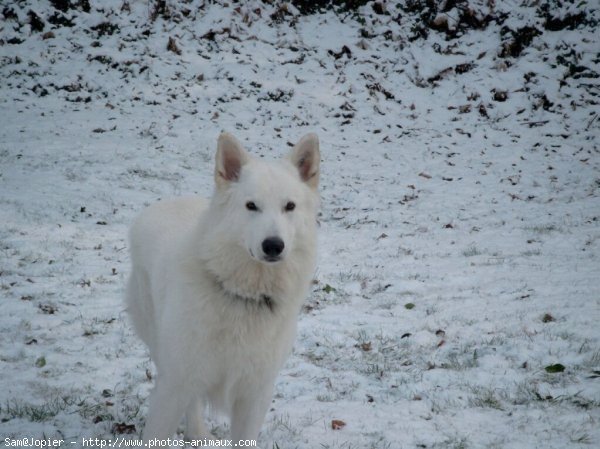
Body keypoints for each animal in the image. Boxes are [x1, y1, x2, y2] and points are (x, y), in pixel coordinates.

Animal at [125, 131, 322, 442]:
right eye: (251, 206)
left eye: (289, 206)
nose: (273, 246)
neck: (243, 295)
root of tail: (164, 203)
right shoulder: (172, 386)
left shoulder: (254, 396)